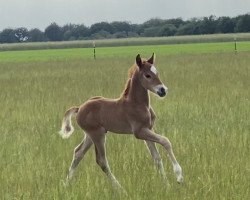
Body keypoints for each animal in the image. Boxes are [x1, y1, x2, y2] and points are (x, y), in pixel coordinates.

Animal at [58, 53, 184, 191]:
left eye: (157, 72)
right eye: (147, 75)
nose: (163, 90)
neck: (136, 104)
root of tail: (79, 108)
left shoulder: (149, 129)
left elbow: (156, 157)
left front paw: (166, 184)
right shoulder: (139, 132)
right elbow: (166, 141)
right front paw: (179, 177)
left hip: (90, 136)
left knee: (78, 153)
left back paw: (66, 183)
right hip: (97, 135)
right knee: (101, 161)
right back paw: (120, 189)